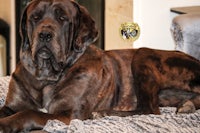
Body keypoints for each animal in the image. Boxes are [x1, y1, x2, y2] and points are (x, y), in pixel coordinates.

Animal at [0, 0, 199, 132]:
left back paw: (102, 113)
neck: (46, 76)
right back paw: (186, 105)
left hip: (143, 55)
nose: (44, 34)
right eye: (35, 17)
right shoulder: (12, 105)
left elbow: (30, 113)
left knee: (150, 110)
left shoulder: (68, 114)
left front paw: (5, 124)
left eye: (63, 18)